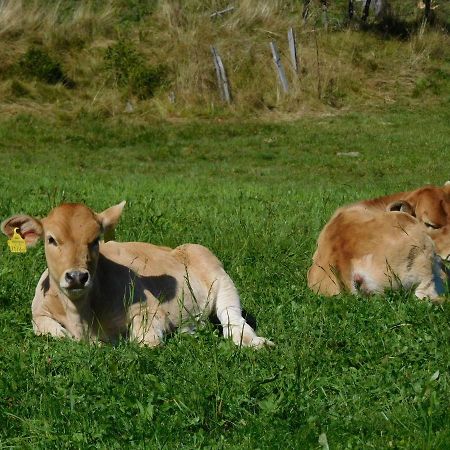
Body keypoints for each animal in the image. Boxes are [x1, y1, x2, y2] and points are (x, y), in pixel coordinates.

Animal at [2, 201, 274, 348]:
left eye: (95, 240)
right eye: (51, 239)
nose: (77, 276)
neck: (80, 315)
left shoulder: (151, 310)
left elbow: (146, 341)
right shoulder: (38, 313)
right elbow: (51, 331)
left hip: (219, 275)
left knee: (233, 320)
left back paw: (255, 343)